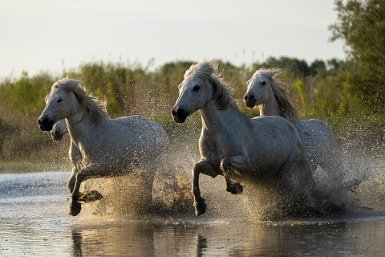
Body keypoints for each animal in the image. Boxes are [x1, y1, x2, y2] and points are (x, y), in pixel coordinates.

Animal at [38, 79, 169, 215]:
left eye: (59, 99)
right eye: (46, 99)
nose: (43, 122)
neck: (88, 136)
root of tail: (162, 132)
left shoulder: (102, 167)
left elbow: (80, 177)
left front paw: (75, 206)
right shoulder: (77, 167)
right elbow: (71, 185)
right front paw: (90, 196)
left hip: (150, 168)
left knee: (148, 192)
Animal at [171, 62, 320, 216]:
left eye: (196, 87)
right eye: (180, 87)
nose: (177, 113)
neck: (218, 133)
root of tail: (289, 125)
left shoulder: (247, 162)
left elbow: (225, 162)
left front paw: (234, 187)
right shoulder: (210, 166)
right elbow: (196, 169)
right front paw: (199, 205)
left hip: (292, 168)